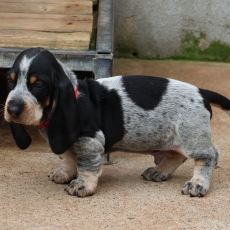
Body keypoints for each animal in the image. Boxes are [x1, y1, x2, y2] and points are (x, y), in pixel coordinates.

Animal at [3, 47, 230, 198]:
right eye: (10, 81)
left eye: (39, 84)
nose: (12, 110)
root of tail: (202, 92)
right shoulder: (66, 140)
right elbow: (67, 156)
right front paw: (64, 173)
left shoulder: (90, 140)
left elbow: (85, 165)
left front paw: (82, 185)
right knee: (176, 155)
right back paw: (159, 171)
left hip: (193, 135)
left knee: (208, 157)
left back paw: (197, 184)